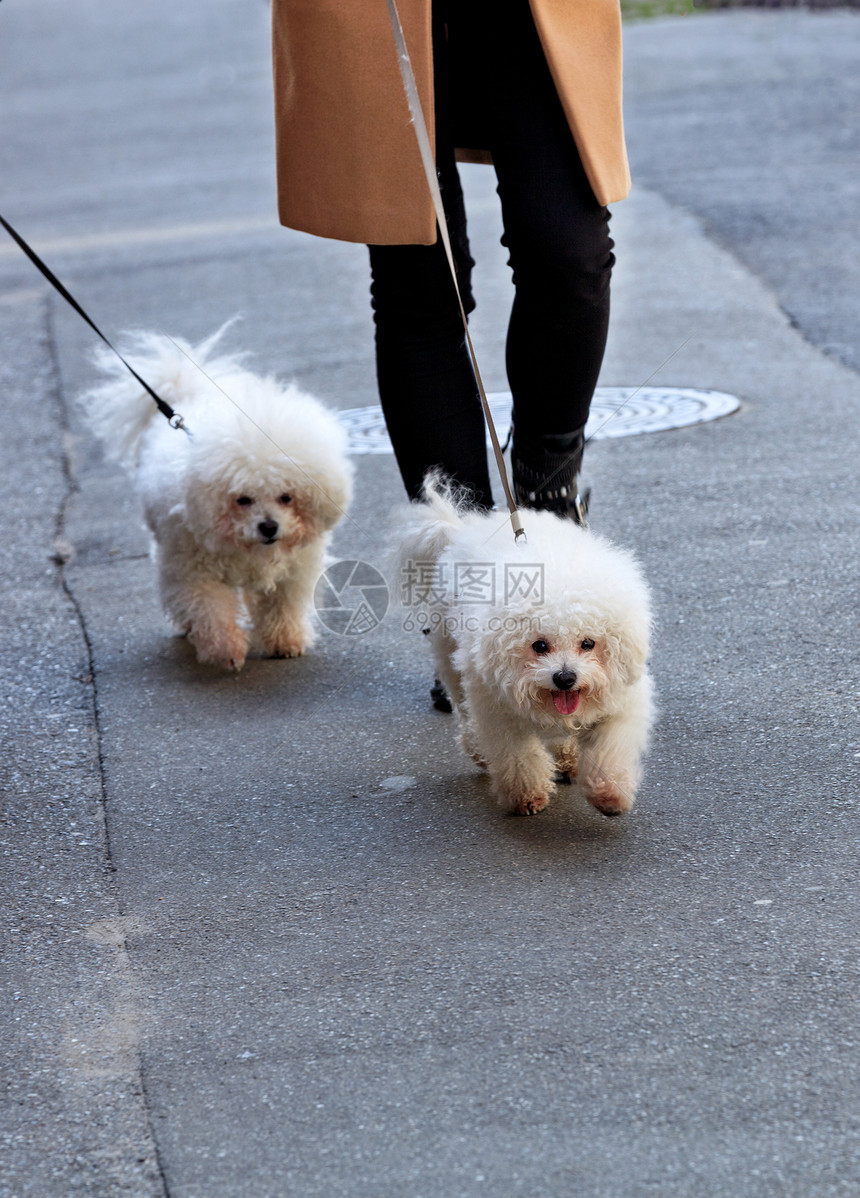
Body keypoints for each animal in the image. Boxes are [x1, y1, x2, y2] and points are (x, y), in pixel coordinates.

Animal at [79, 328, 352, 670]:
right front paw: (226, 649)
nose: (269, 527)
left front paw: (284, 640)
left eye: (286, 497)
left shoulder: (294, 570)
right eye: (243, 499)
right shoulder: (196, 572)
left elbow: (282, 604)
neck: (247, 547)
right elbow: (210, 610)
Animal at [400, 481, 656, 819]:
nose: (565, 678)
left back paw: (568, 757)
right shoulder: (498, 710)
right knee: (465, 712)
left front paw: (609, 793)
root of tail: (462, 529)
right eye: (540, 646)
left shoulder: (621, 702)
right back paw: (480, 750)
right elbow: (517, 756)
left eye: (588, 643)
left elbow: (611, 748)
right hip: (453, 662)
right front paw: (526, 795)